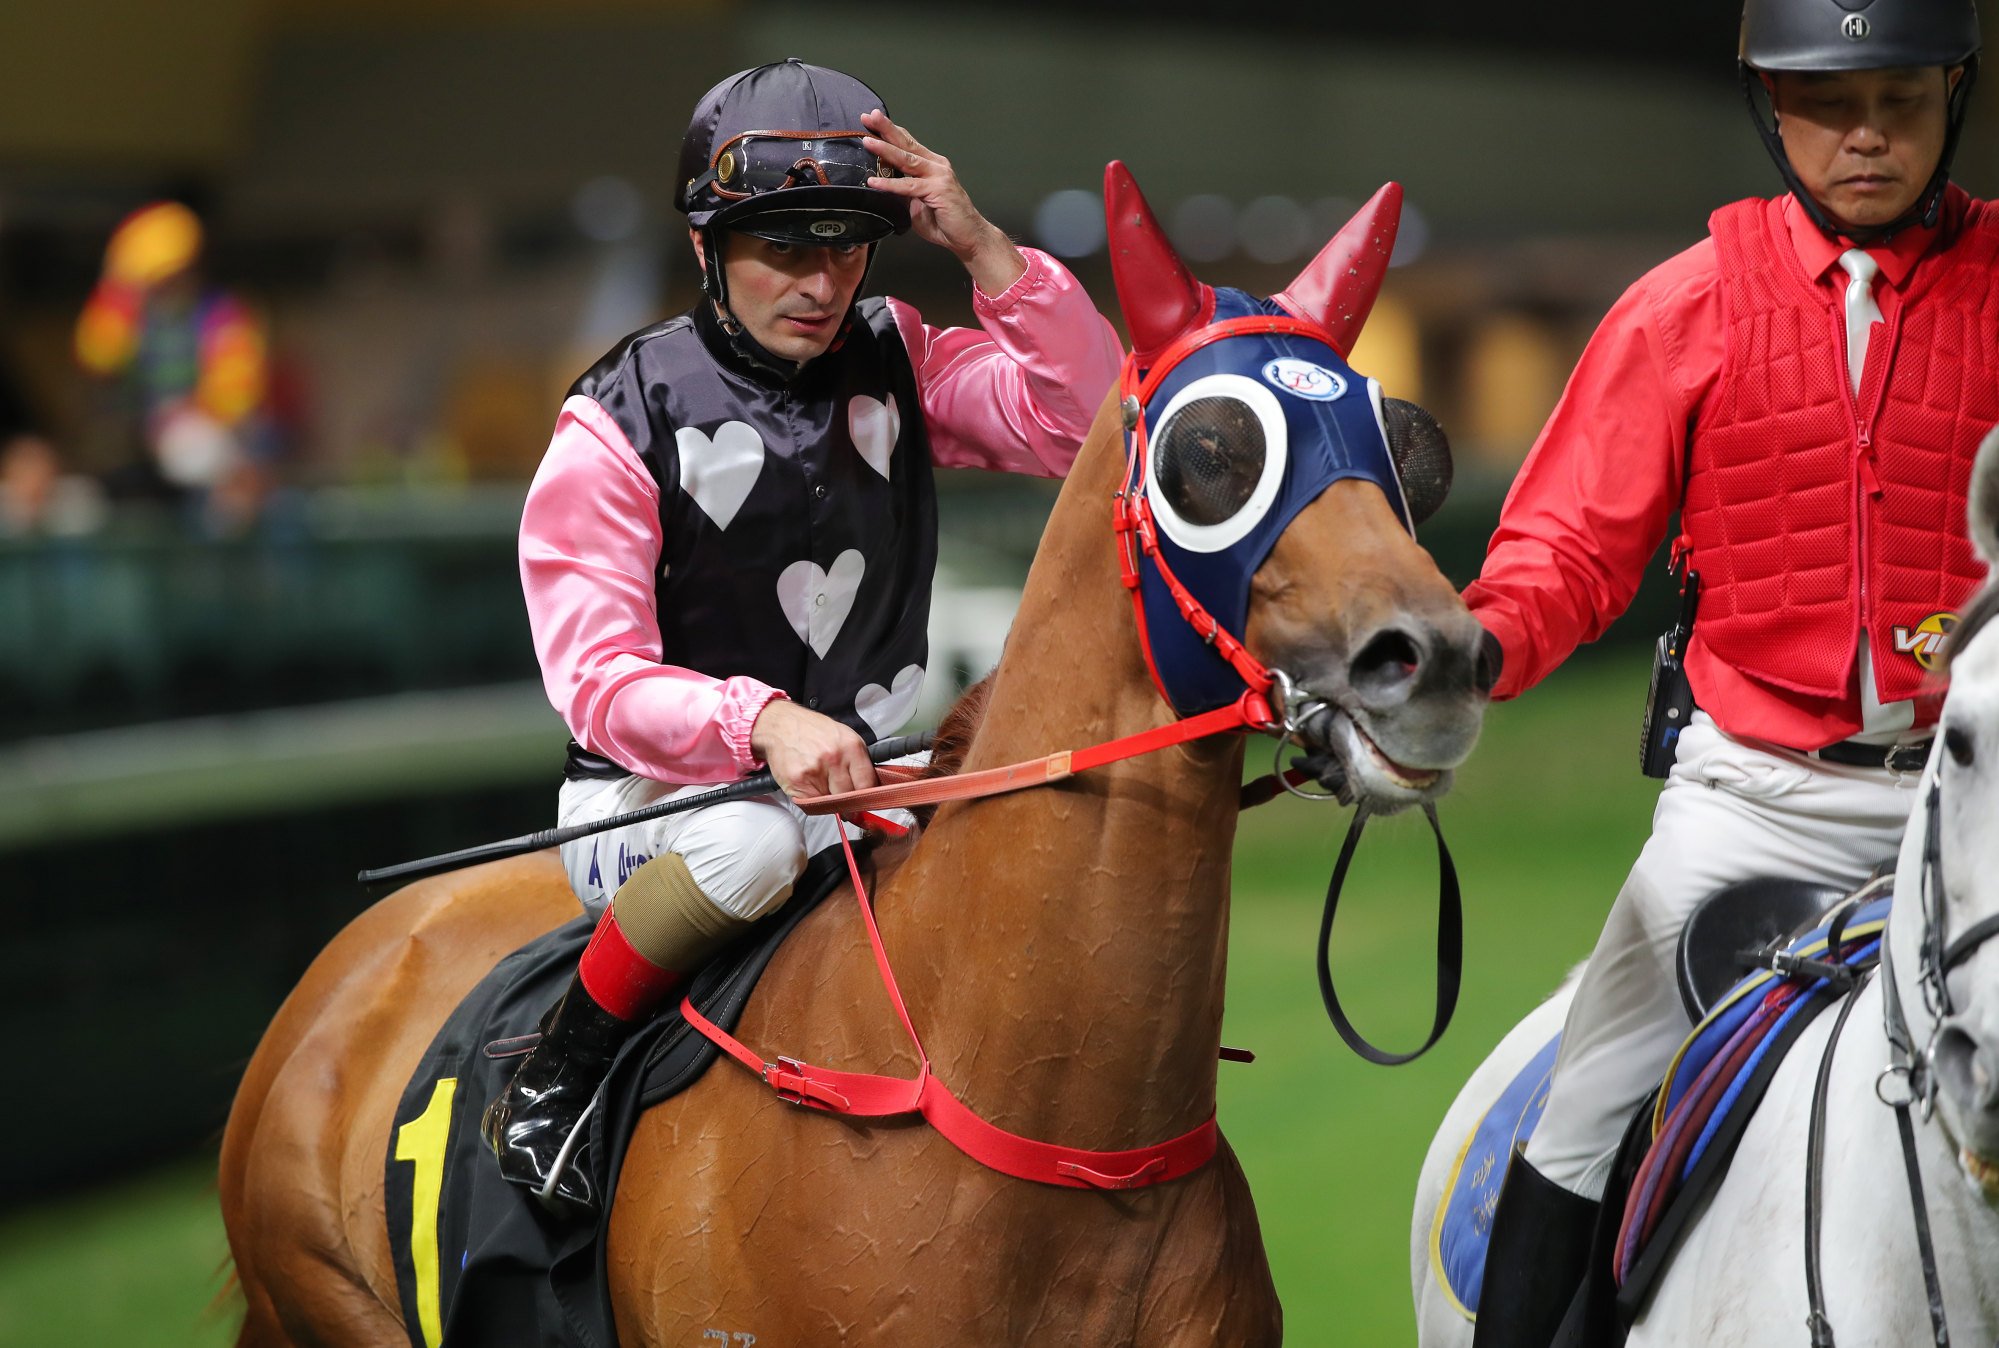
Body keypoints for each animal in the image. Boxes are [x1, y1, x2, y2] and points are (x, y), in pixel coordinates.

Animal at [226, 168, 1495, 1344]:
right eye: (1211, 448)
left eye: (1411, 446)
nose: (1435, 659)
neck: (1059, 1145)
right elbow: (607, 659)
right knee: (739, 843)